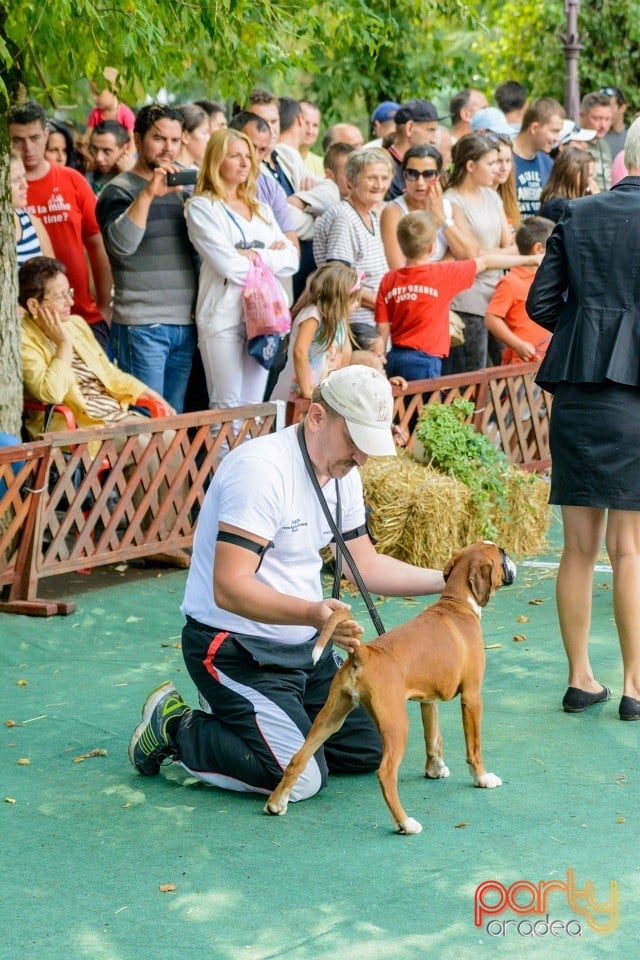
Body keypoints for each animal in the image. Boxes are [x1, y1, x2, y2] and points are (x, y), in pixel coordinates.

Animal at [262, 544, 516, 836]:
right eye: (502, 554)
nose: (512, 561)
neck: (457, 602)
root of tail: (363, 652)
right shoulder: (472, 697)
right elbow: (474, 747)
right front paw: (482, 778)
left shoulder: (428, 702)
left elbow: (434, 739)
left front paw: (435, 770)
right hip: (396, 727)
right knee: (385, 773)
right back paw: (405, 823)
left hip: (329, 718)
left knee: (298, 758)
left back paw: (276, 804)